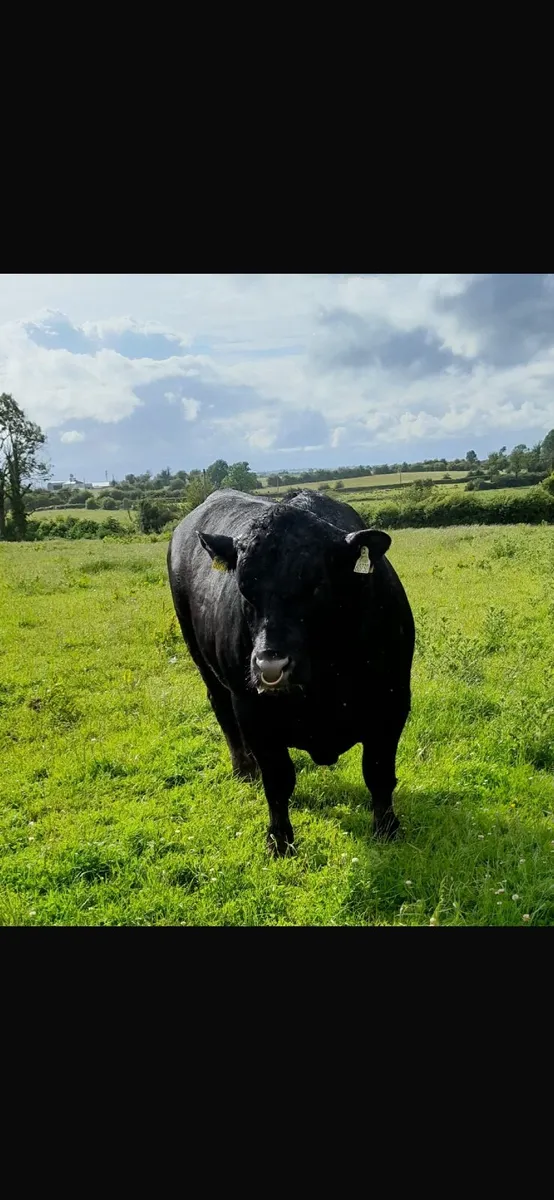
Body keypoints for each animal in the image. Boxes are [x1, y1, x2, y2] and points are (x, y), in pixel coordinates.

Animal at [167, 488, 415, 856]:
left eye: (315, 586)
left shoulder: (392, 702)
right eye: (244, 588)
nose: (270, 666)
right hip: (203, 661)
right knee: (222, 711)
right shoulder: (253, 711)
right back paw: (244, 769)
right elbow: (278, 780)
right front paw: (279, 840)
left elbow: (379, 772)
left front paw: (387, 829)